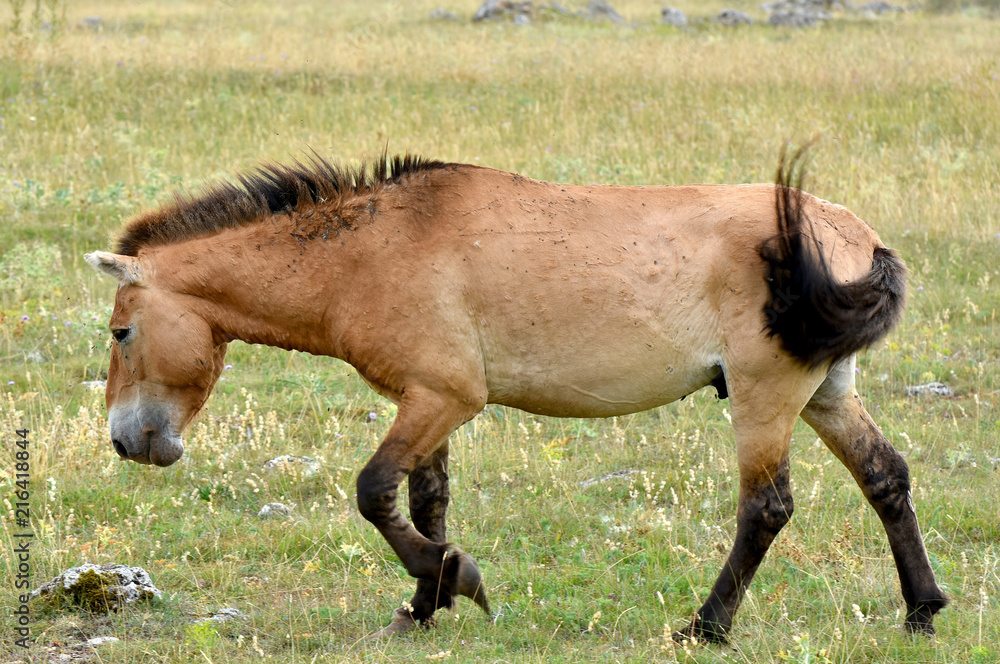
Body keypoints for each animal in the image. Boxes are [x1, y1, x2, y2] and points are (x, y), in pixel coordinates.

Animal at [85, 147, 947, 641]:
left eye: (121, 331)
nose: (127, 441)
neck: (370, 251)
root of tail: (853, 237)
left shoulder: (445, 397)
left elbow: (373, 492)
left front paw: (455, 579)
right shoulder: (428, 400)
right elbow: (423, 499)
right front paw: (424, 604)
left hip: (766, 396)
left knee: (766, 509)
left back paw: (706, 627)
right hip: (826, 392)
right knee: (886, 478)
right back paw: (921, 609)